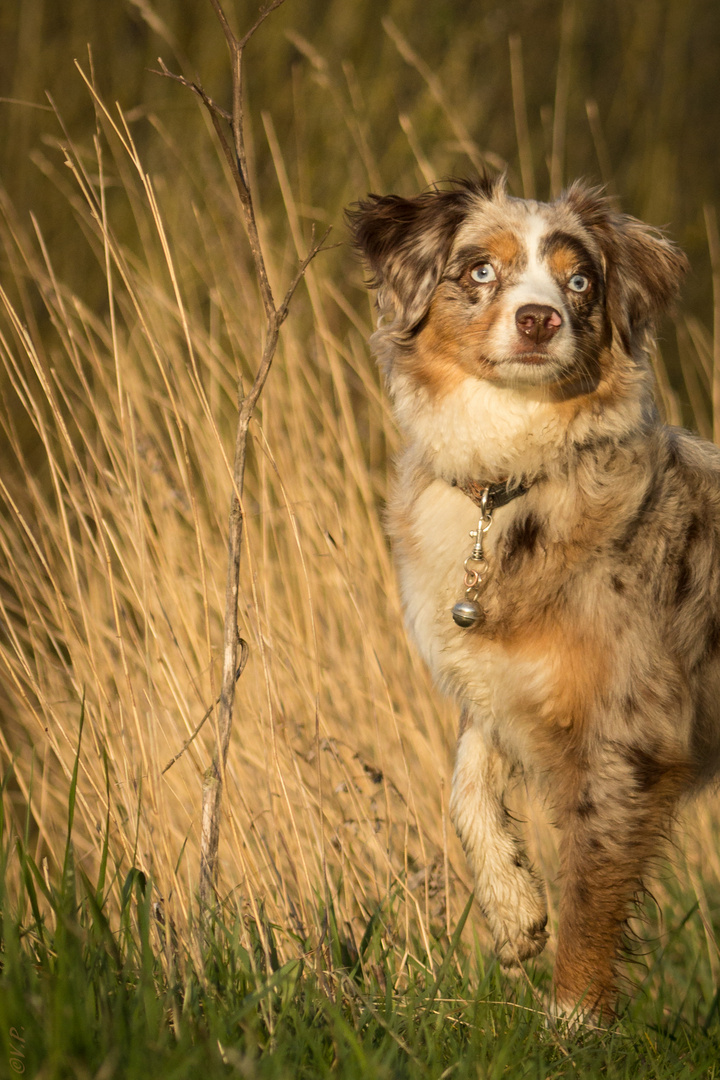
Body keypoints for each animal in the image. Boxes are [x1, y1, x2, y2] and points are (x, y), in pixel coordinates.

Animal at [349, 177, 720, 1019]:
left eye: (578, 282)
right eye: (481, 271)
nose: (539, 318)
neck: (506, 482)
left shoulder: (629, 736)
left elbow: (590, 892)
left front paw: (573, 1021)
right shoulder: (500, 675)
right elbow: (467, 782)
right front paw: (514, 909)